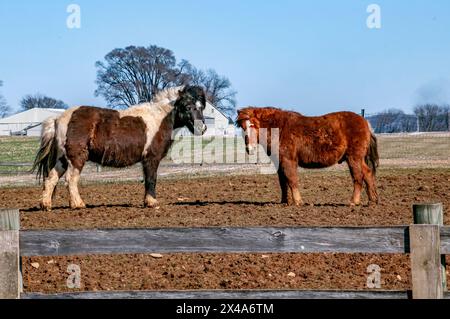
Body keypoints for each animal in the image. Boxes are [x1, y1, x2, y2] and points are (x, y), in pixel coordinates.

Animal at [33, 85, 207, 211]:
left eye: (201, 107)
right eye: (187, 106)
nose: (202, 128)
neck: (159, 118)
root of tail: (57, 119)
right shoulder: (151, 158)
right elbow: (151, 179)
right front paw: (152, 202)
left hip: (63, 158)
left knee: (51, 178)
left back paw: (46, 205)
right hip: (76, 158)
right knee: (71, 179)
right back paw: (78, 204)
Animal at [236, 107, 380, 208]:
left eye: (253, 125)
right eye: (242, 127)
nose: (250, 149)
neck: (281, 128)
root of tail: (365, 122)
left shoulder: (289, 160)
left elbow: (292, 179)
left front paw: (298, 201)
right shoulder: (280, 163)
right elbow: (283, 182)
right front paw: (284, 201)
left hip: (353, 158)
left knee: (358, 177)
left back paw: (354, 201)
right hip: (358, 159)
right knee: (368, 174)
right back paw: (372, 201)